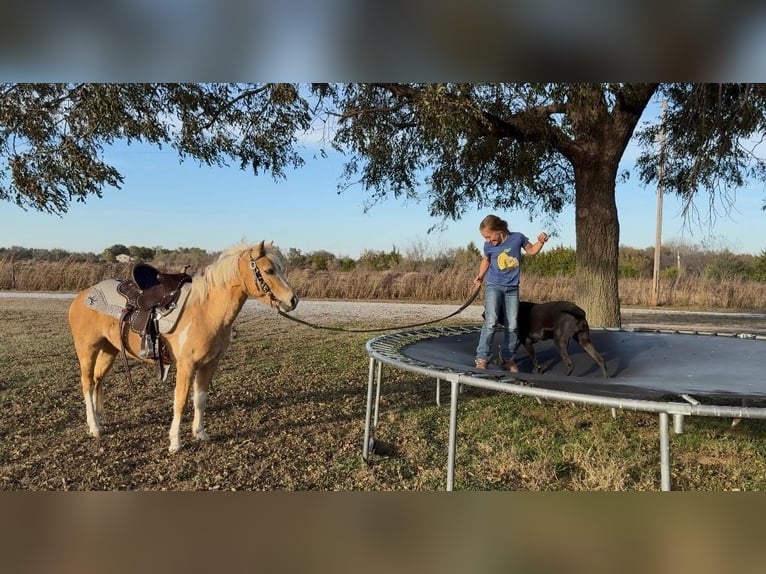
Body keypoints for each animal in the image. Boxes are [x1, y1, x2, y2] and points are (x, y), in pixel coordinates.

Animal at [68, 241, 298, 453]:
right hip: (87, 350)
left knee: (98, 380)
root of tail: (83, 296)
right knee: (87, 383)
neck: (206, 311)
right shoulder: (186, 366)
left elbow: (200, 400)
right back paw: (94, 427)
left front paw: (200, 433)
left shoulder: (209, 365)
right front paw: (175, 443)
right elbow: (181, 401)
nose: (293, 300)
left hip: (110, 350)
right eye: (268, 270)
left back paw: (98, 419)